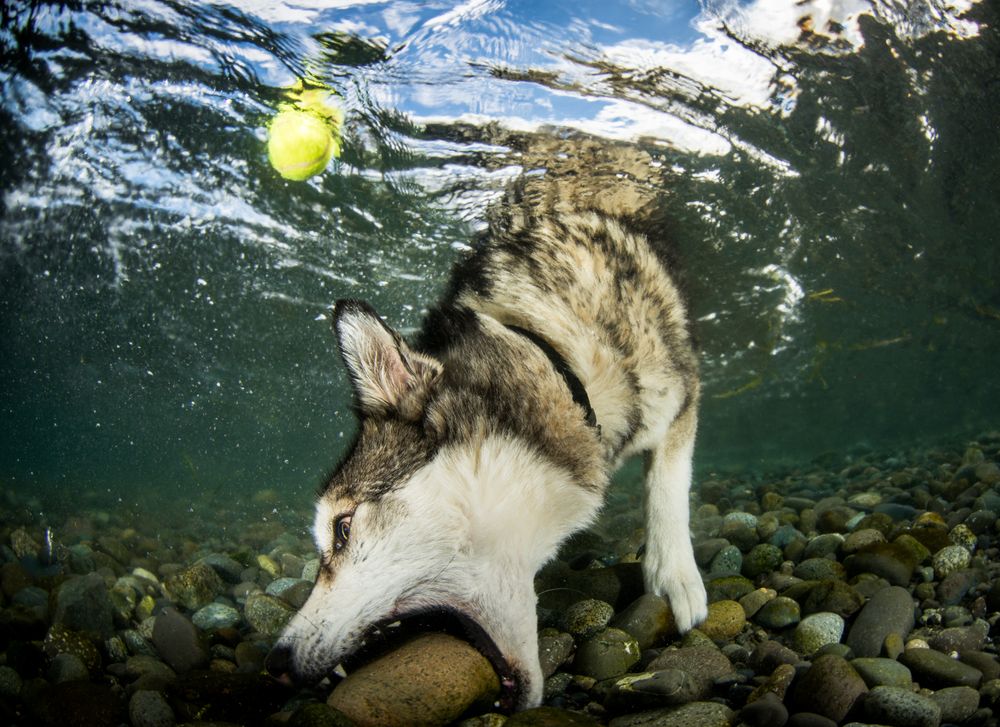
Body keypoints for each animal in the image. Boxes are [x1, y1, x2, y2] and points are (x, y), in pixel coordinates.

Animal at [262, 168, 708, 708]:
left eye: (341, 529)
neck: (551, 354)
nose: (274, 664)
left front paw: (674, 573)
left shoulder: (682, 388)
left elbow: (669, 481)